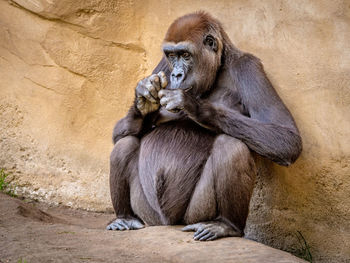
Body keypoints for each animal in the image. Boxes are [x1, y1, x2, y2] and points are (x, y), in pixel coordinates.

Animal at [106, 11, 300, 243]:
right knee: (125, 144)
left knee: (231, 145)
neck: (219, 66)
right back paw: (125, 218)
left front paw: (195, 106)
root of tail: (168, 222)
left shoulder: (248, 66)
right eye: (172, 56)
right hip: (148, 213)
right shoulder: (163, 65)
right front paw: (143, 98)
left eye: (185, 55)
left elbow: (286, 139)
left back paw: (226, 225)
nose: (176, 75)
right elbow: (119, 132)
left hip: (194, 214)